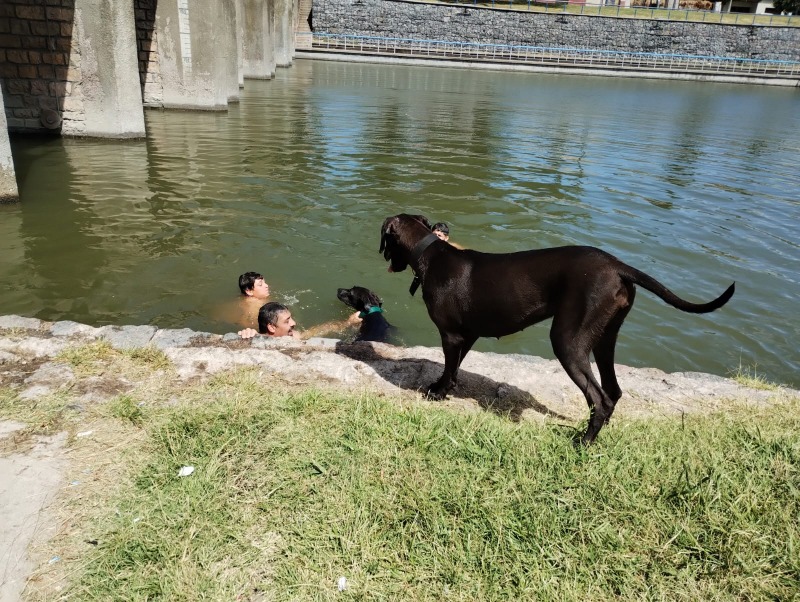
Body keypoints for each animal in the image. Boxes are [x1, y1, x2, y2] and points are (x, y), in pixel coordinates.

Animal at [378, 213, 736, 442]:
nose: (385, 261)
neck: (431, 253)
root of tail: (619, 267)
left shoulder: (451, 335)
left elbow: (448, 366)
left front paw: (437, 393)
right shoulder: (469, 334)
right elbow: (454, 369)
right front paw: (446, 388)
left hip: (567, 340)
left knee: (599, 398)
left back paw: (583, 443)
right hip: (604, 338)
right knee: (613, 392)